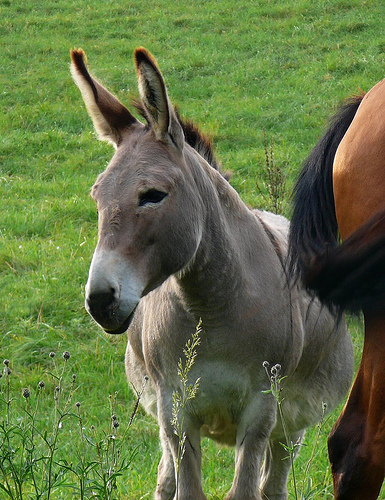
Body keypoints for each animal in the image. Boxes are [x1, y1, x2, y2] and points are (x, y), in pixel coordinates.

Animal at [70, 47, 352, 500]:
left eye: (153, 196)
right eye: (97, 196)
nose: (99, 300)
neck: (211, 304)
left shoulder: (260, 410)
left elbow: (245, 491)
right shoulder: (177, 410)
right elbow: (187, 489)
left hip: (290, 427)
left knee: (272, 486)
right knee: (165, 481)